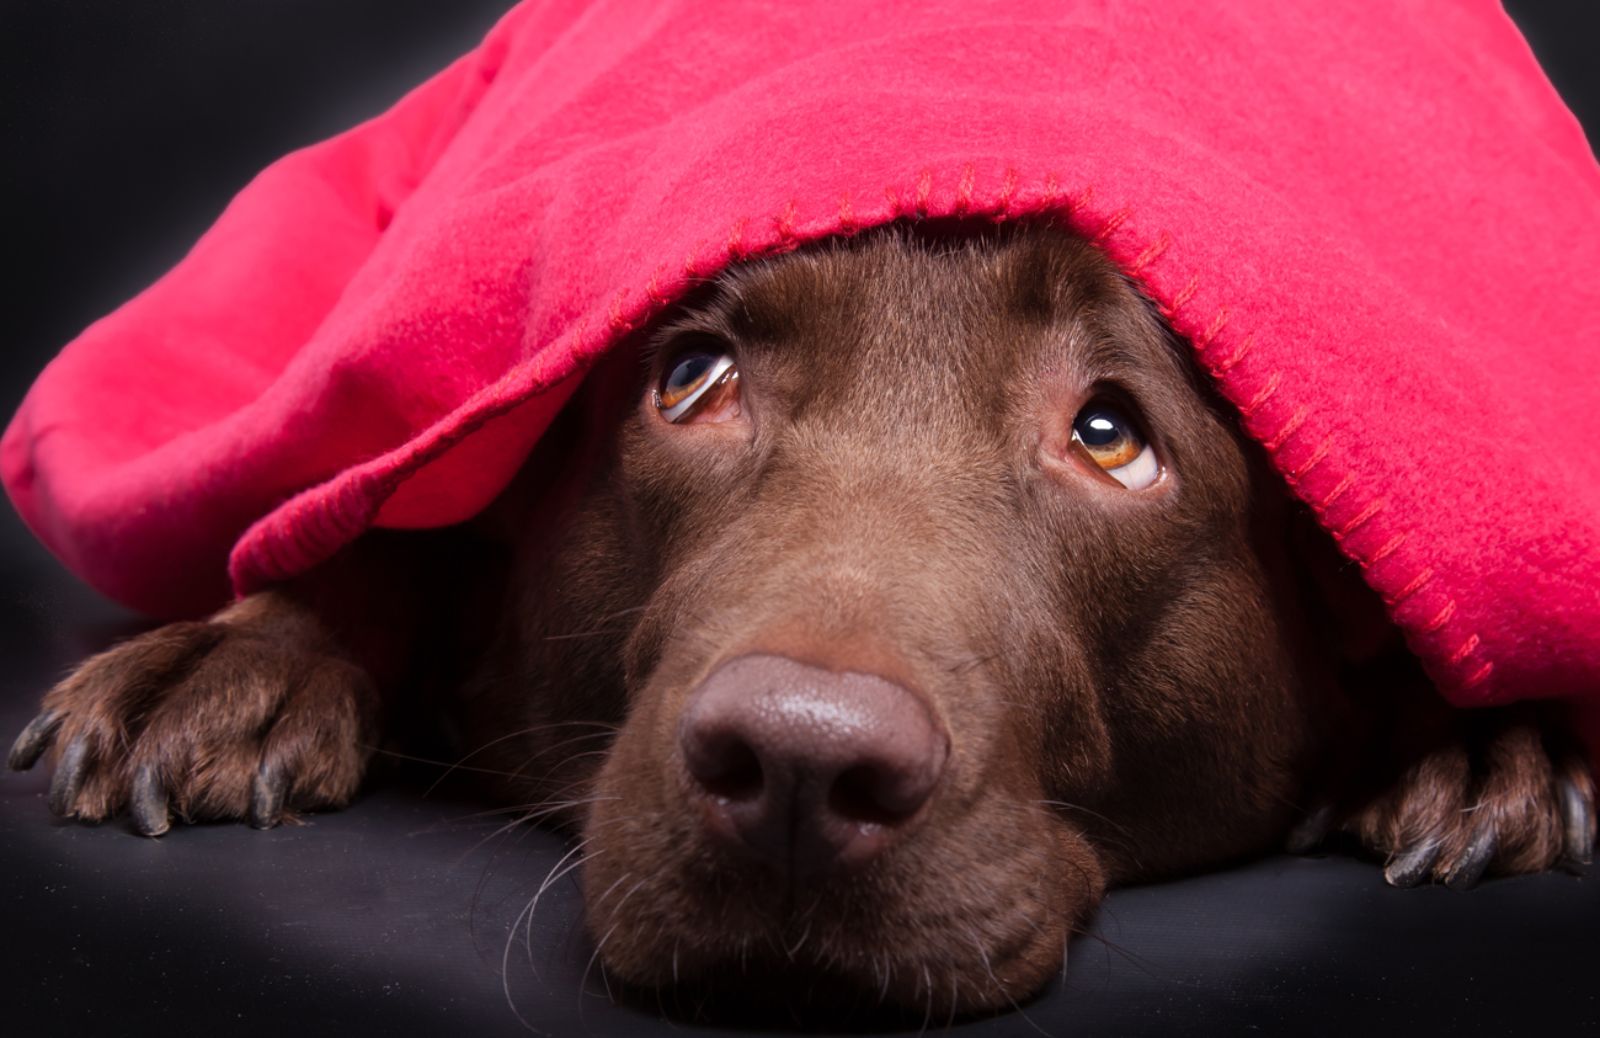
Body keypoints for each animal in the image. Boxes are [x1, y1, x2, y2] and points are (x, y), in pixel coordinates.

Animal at [6, 223, 1593, 1010]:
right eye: (691, 379)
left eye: (1111, 435)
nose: (798, 765)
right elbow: (388, 523)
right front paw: (237, 652)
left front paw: (1486, 729)